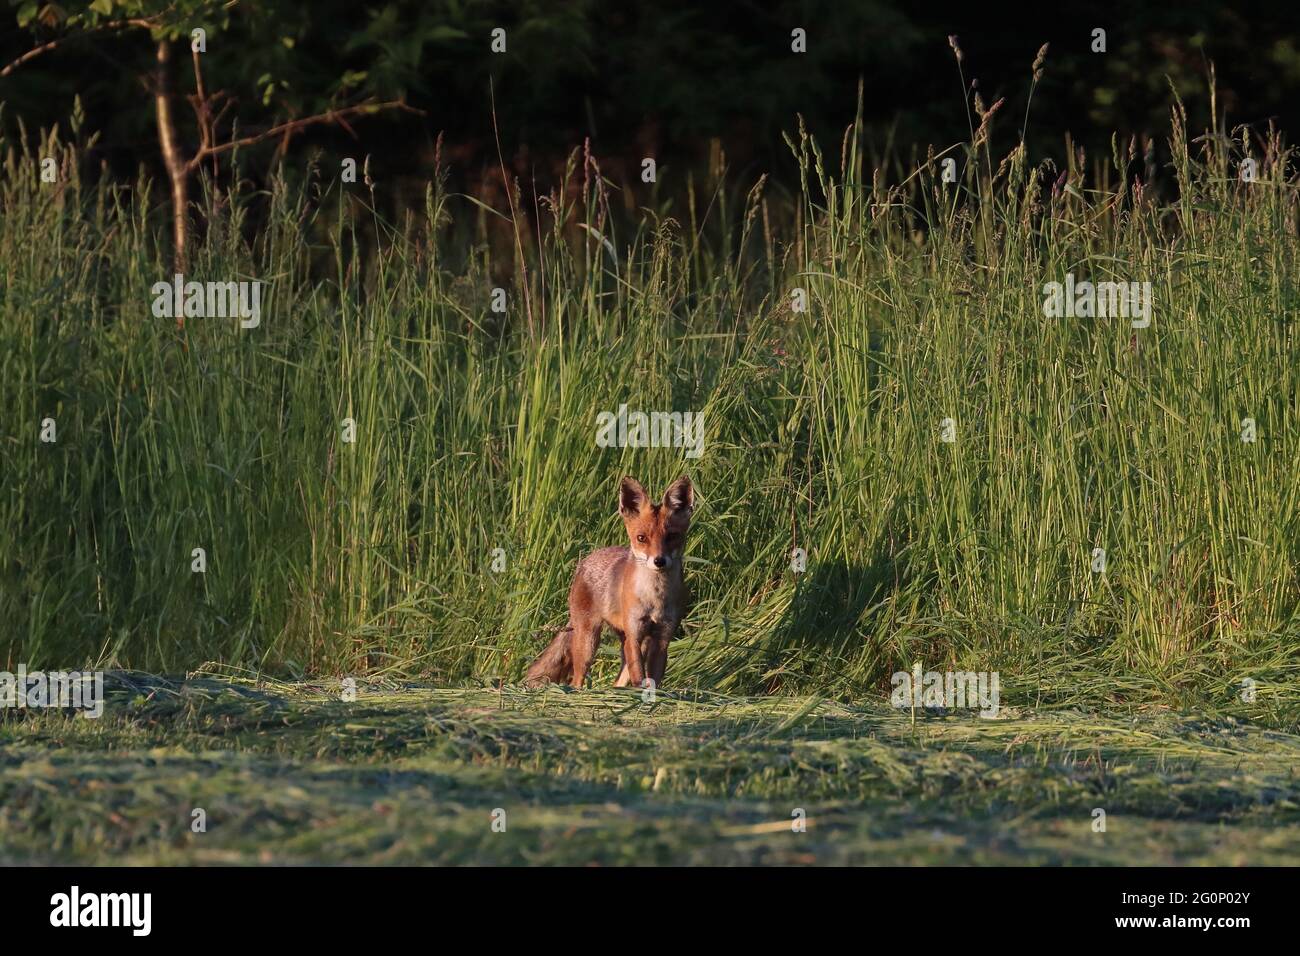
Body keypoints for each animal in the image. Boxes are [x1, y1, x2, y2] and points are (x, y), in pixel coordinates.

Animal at [525, 476, 696, 686]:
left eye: (672, 536)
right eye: (641, 538)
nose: (659, 561)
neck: (655, 598)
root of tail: (587, 560)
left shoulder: (662, 639)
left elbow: (652, 680)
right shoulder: (634, 634)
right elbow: (639, 677)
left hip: (631, 642)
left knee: (619, 680)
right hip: (589, 643)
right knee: (576, 680)